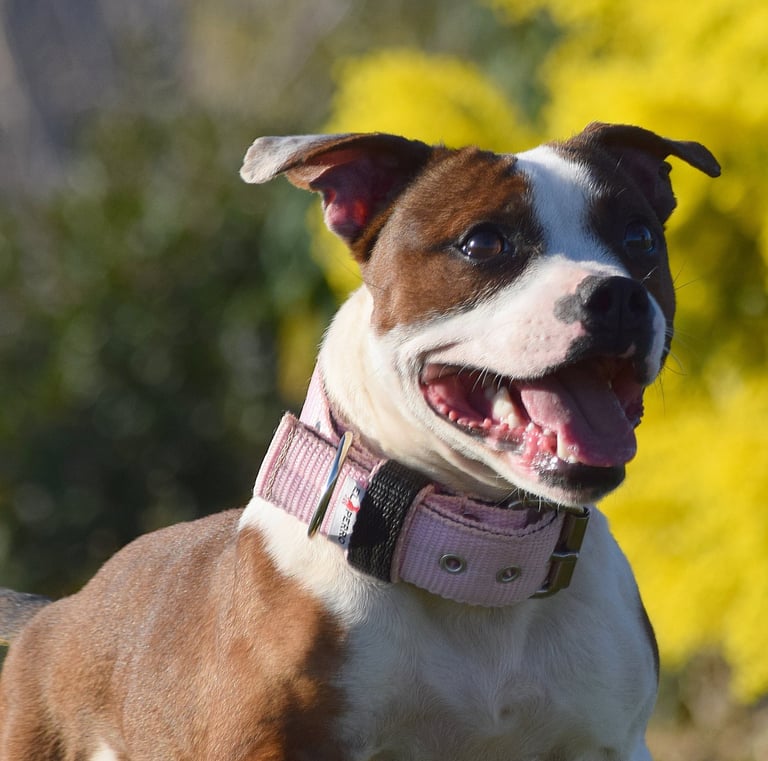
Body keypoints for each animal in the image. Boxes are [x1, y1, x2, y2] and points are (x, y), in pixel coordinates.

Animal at [0, 123, 719, 760]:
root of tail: (55, 616)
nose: (617, 295)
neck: (475, 562)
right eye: (485, 242)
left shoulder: (609, 743)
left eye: (639, 238)